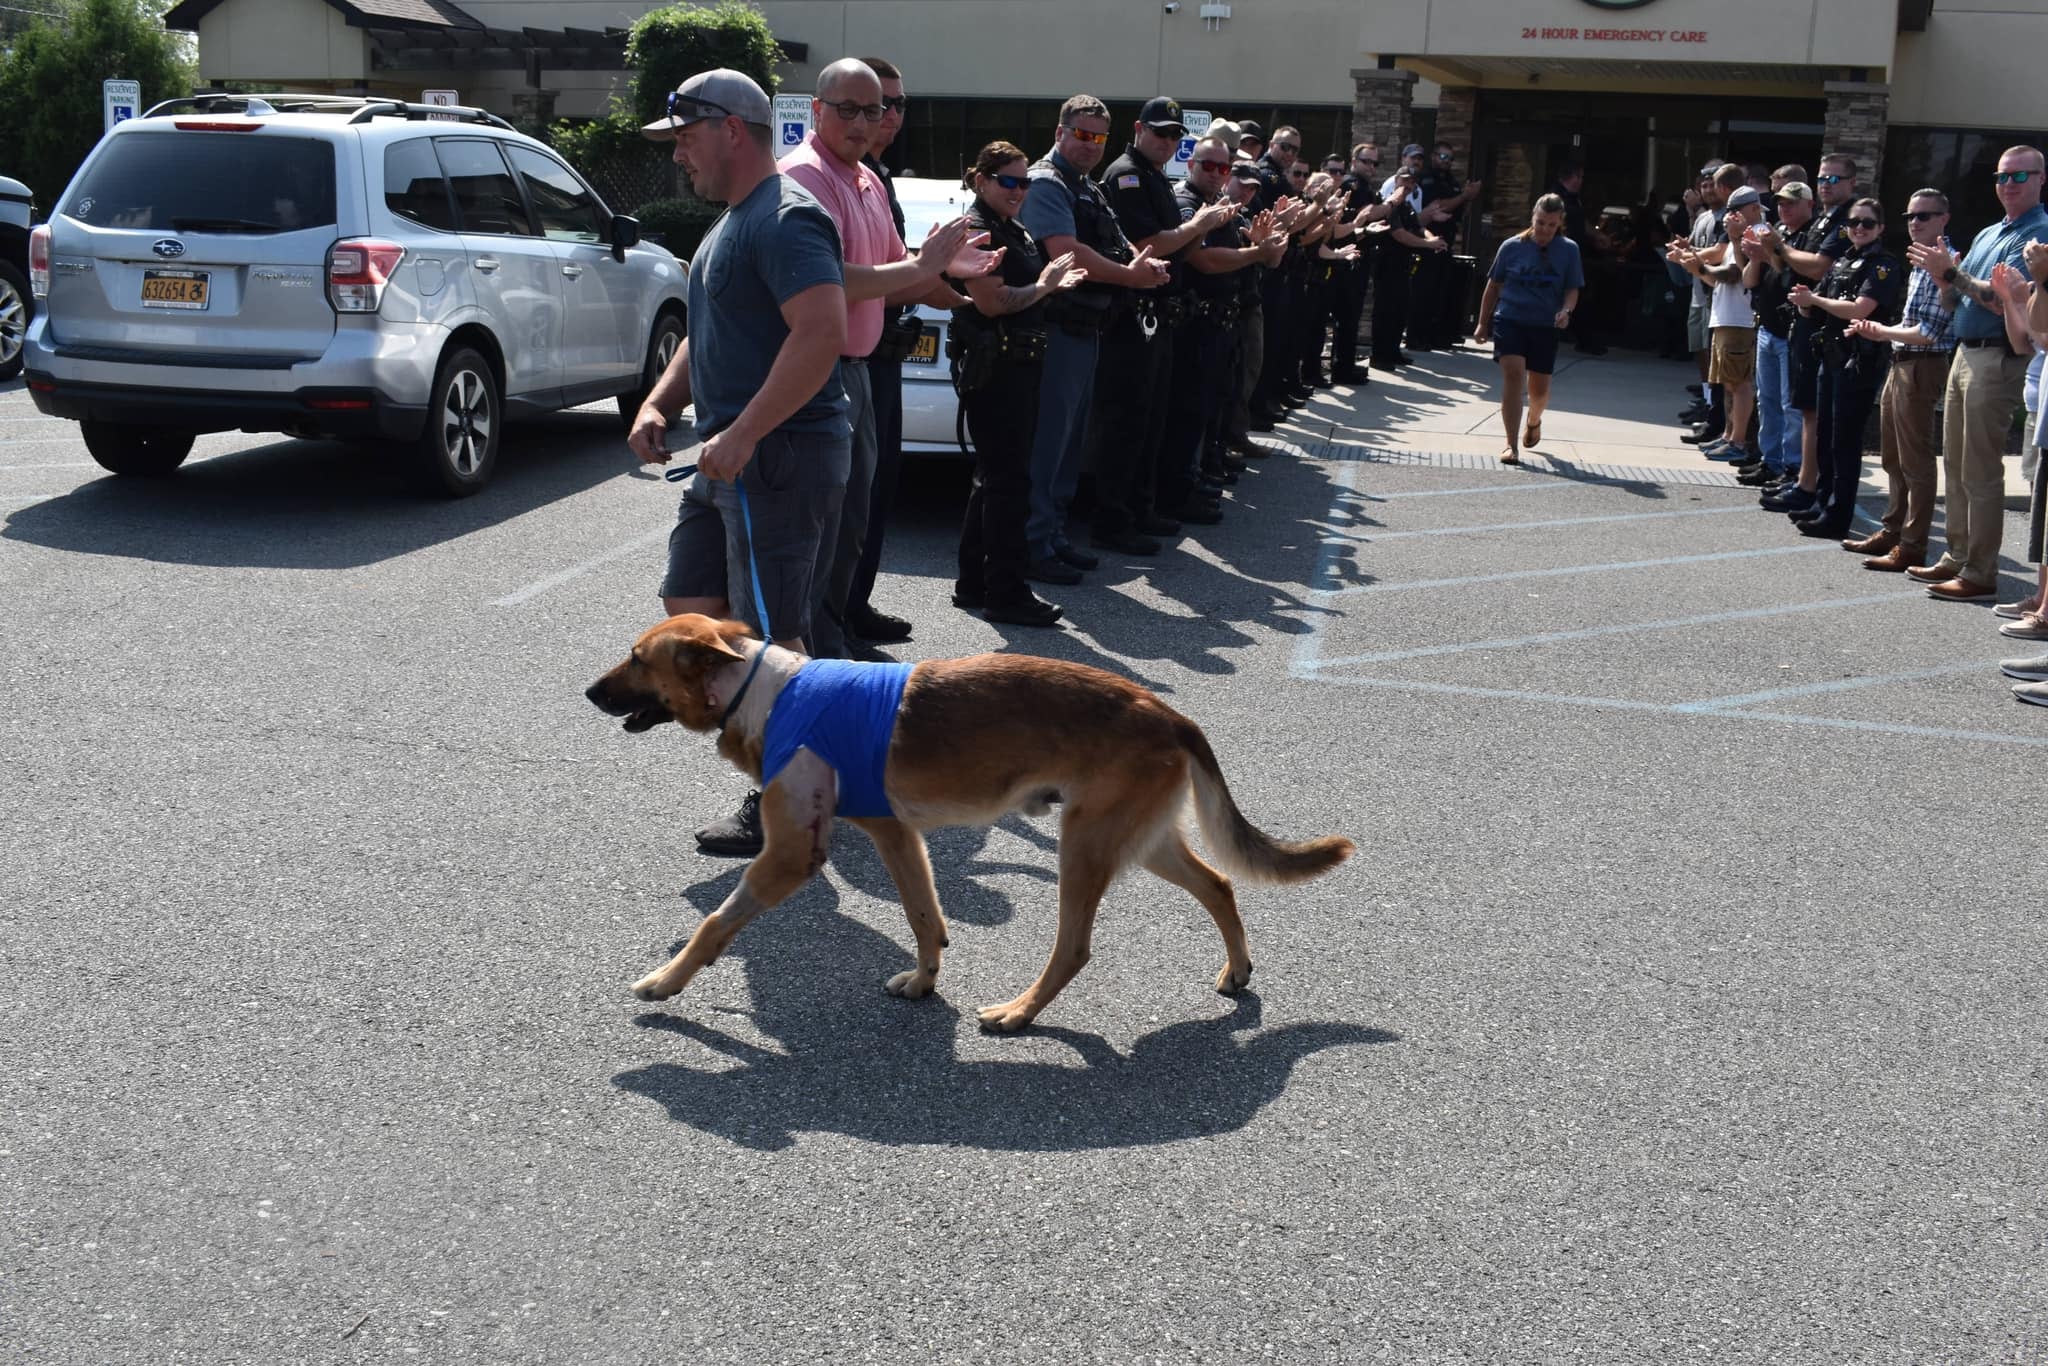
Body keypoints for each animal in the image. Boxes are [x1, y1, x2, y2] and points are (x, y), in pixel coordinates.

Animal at [589, 614, 1359, 1032]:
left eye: (636, 657)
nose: (588, 691)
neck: (762, 690)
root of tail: (1165, 711)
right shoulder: (897, 836)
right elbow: (925, 917)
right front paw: (925, 982)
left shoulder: (787, 858)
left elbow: (715, 924)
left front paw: (666, 982)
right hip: (1141, 842)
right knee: (1221, 886)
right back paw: (1237, 969)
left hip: (1084, 847)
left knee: (1074, 949)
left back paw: (1020, 1013)